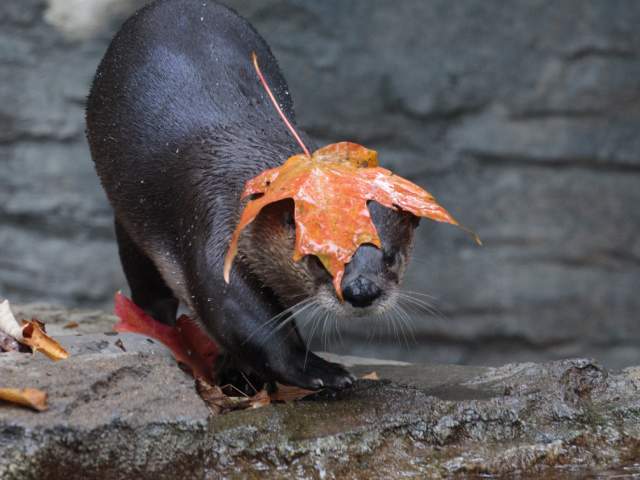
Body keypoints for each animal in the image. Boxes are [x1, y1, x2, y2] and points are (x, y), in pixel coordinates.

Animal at [86, 0, 419, 389]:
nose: (362, 291)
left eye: (392, 258)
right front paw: (319, 371)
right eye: (317, 258)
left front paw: (240, 374)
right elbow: (238, 313)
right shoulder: (215, 220)